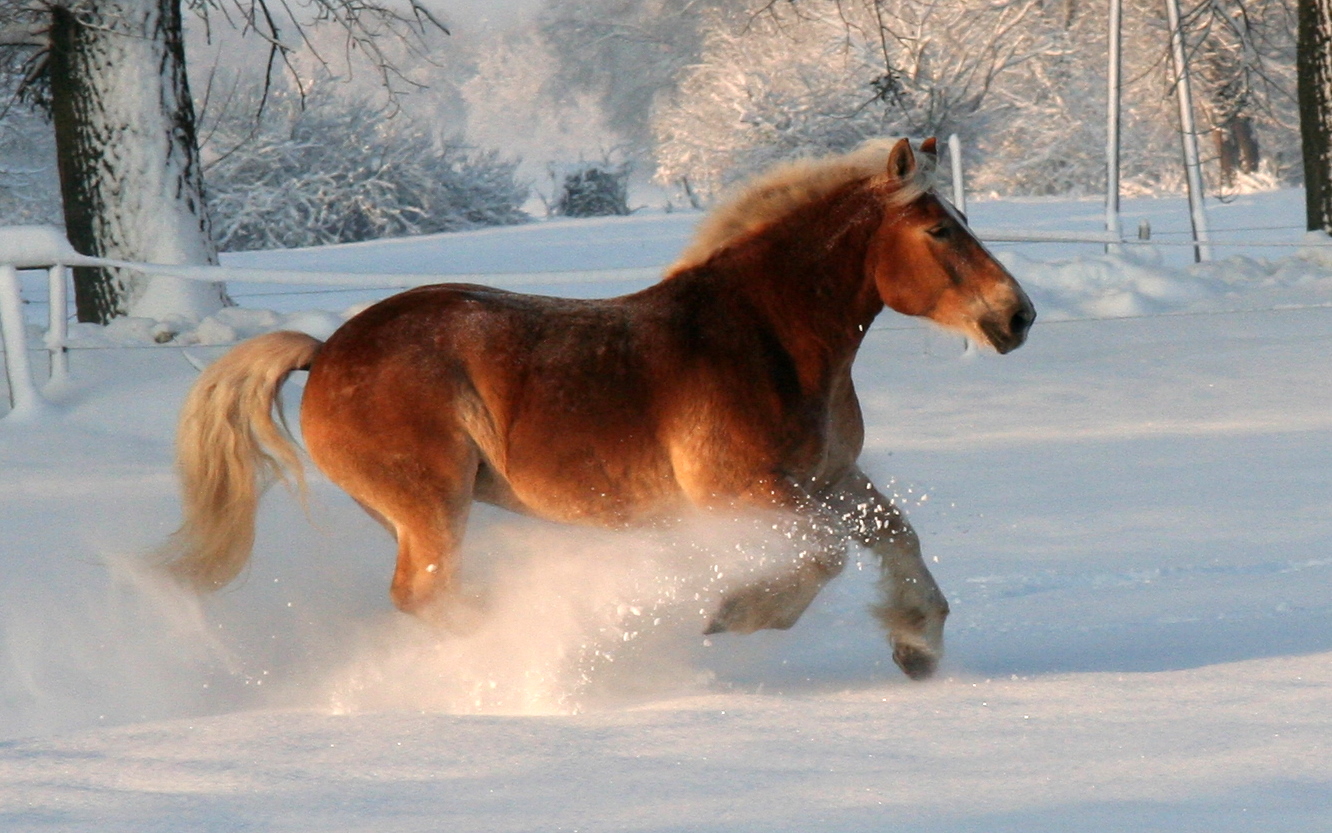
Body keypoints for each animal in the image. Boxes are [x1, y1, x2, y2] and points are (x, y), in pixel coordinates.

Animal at [161, 137, 1033, 682]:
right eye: (938, 229)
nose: (1016, 316)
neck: (768, 336)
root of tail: (326, 348)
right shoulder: (744, 491)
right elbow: (821, 556)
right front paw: (734, 613)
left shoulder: (830, 475)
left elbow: (892, 533)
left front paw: (917, 642)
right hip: (432, 503)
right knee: (424, 594)